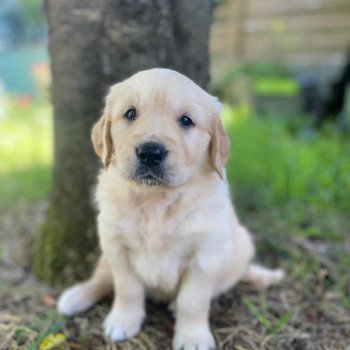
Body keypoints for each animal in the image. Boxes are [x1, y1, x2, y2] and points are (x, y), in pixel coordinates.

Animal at [56, 69, 282, 350]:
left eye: (186, 120)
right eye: (130, 114)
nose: (150, 153)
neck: (156, 200)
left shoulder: (207, 254)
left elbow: (192, 300)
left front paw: (192, 337)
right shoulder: (116, 246)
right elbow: (127, 288)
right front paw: (123, 321)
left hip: (239, 249)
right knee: (101, 279)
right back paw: (76, 296)